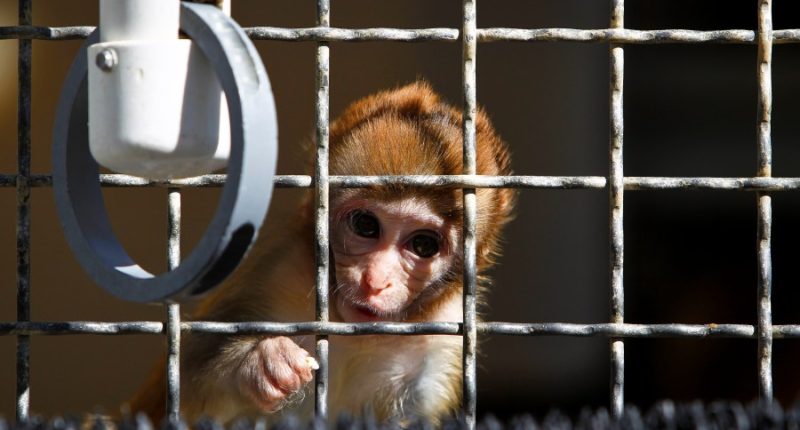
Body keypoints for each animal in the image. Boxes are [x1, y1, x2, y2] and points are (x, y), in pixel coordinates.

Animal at [129, 81, 515, 425]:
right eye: (366, 225)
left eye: (423, 245)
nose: (375, 280)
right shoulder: (276, 269)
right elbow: (180, 389)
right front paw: (261, 364)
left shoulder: (438, 348)